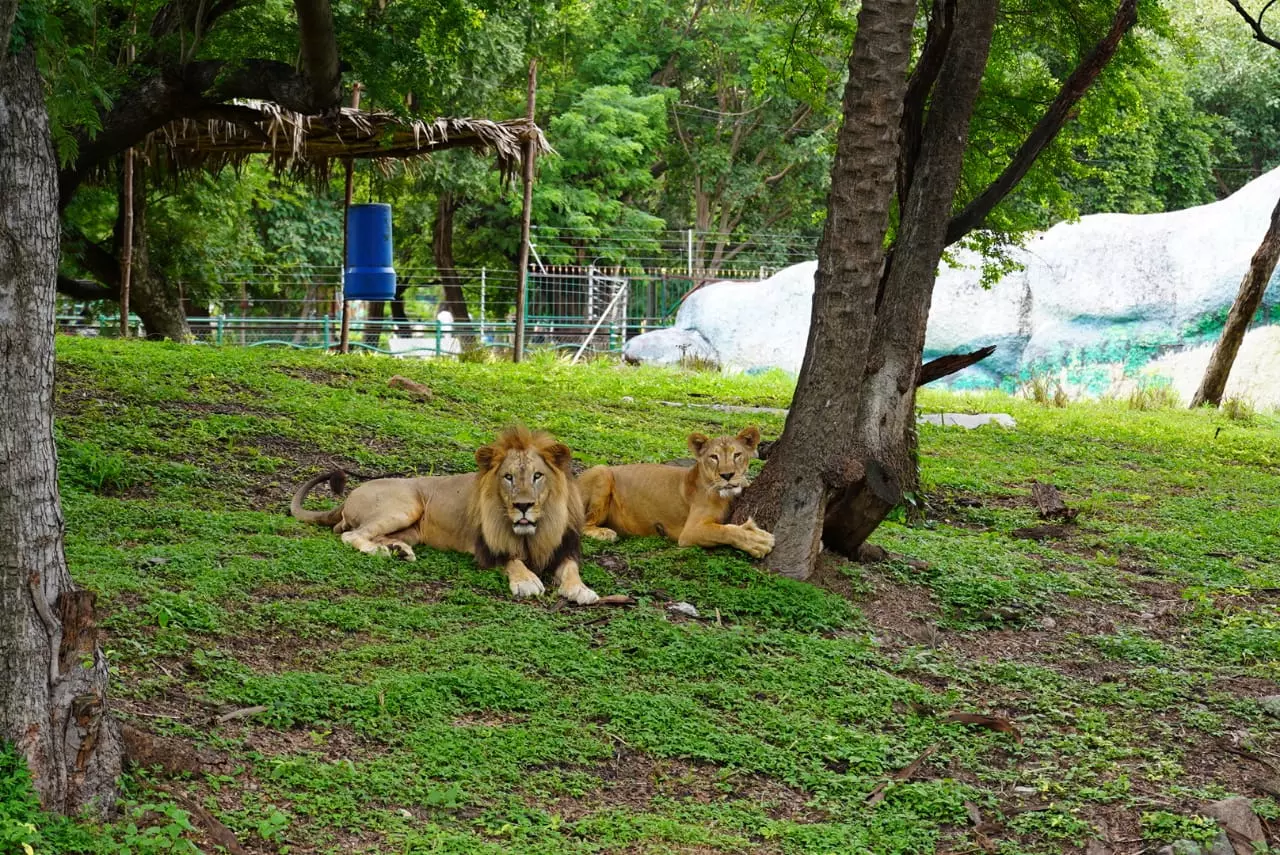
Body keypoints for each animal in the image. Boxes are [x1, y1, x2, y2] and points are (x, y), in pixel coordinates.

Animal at [290, 426, 598, 604]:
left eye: (537, 476)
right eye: (508, 477)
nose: (523, 505)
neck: (535, 530)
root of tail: (351, 493)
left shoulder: (565, 547)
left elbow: (571, 569)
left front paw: (582, 589)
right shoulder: (487, 549)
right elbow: (512, 560)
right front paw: (527, 582)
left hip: (412, 528)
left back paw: (399, 550)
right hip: (406, 505)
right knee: (351, 535)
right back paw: (380, 551)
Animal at [578, 425, 775, 558]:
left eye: (737, 455)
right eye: (714, 457)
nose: (727, 475)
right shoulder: (690, 532)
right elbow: (726, 530)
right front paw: (758, 541)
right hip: (602, 471)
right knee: (583, 523)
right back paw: (605, 533)